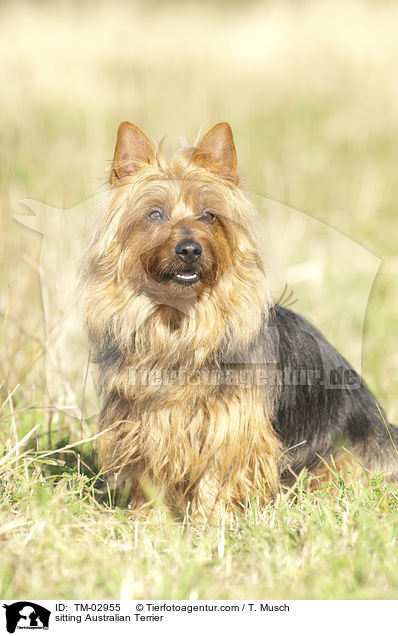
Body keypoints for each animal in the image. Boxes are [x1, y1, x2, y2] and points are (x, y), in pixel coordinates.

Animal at [81, 121, 398, 520]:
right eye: (154, 214)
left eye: (209, 215)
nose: (189, 250)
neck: (179, 324)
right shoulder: (144, 426)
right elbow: (151, 478)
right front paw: (148, 521)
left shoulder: (230, 428)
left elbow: (217, 480)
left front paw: (210, 523)